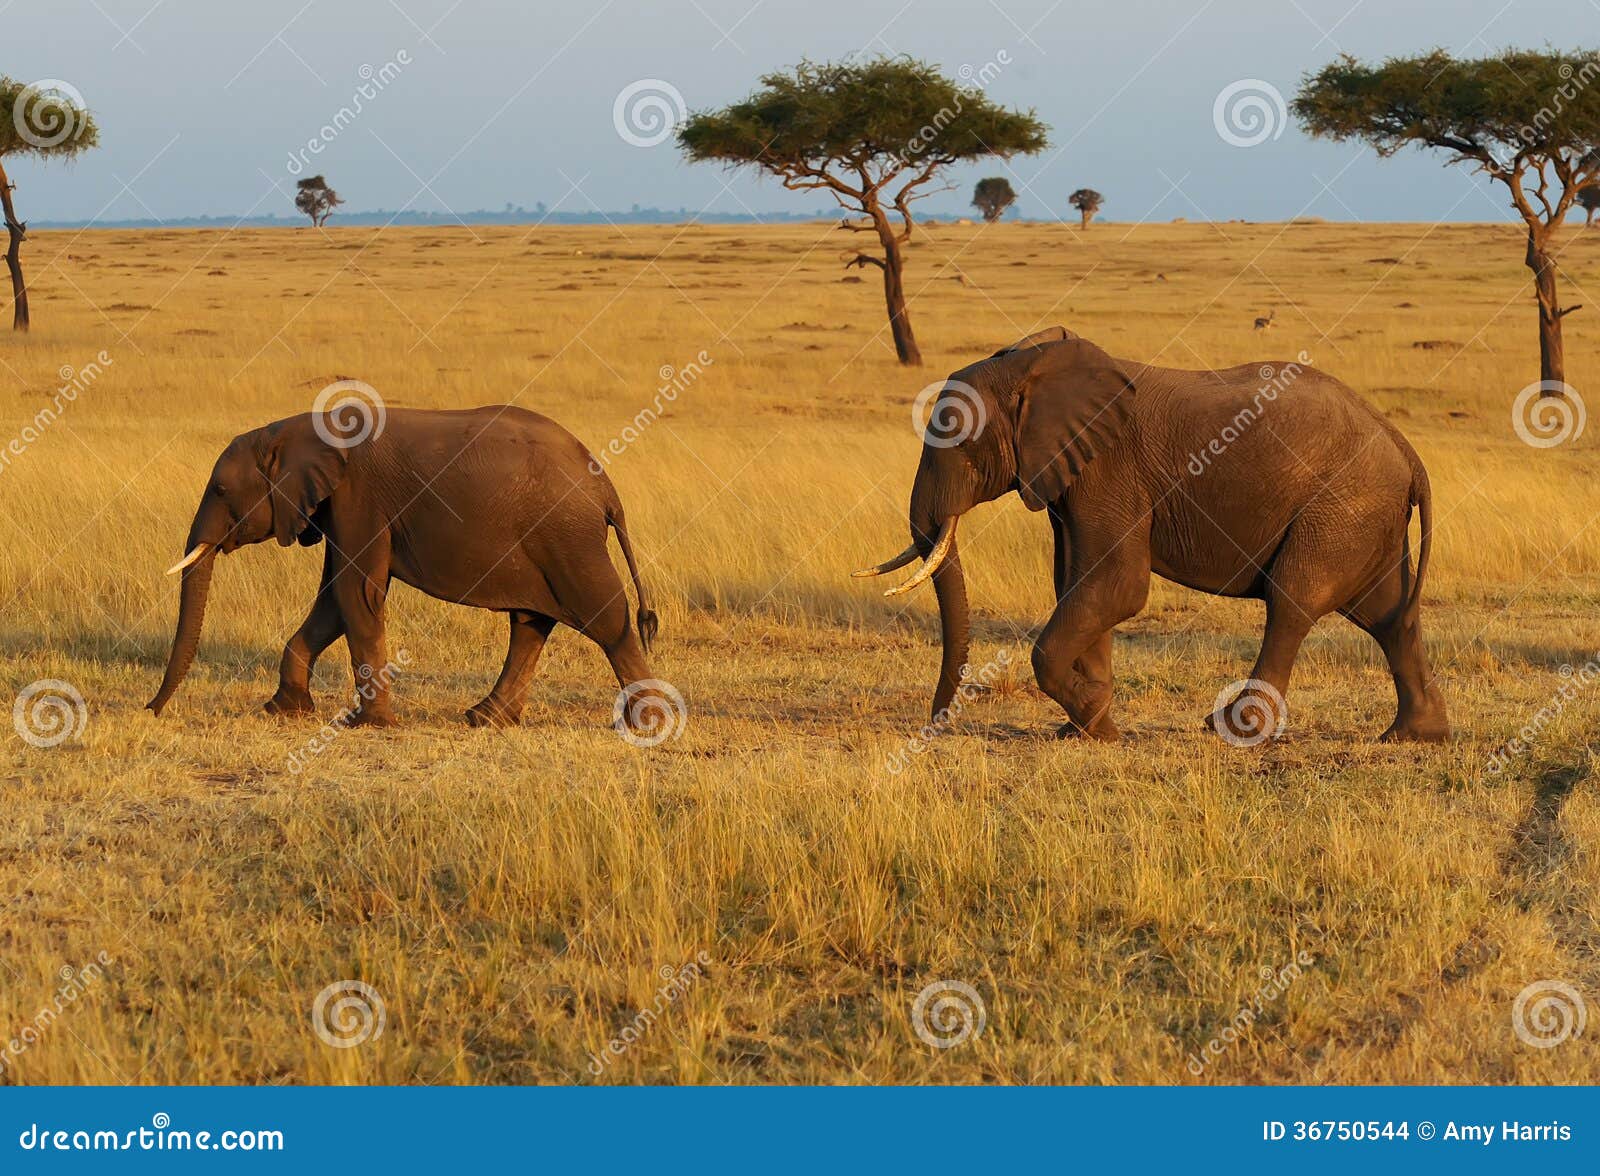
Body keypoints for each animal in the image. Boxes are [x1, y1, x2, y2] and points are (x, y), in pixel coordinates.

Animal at [150, 409, 662, 732]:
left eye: (219, 490)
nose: (150, 708)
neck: (299, 428)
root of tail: (606, 488)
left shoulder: (359, 499)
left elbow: (356, 594)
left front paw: (369, 725)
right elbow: (333, 600)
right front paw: (284, 710)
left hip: (567, 538)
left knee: (606, 620)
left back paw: (649, 722)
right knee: (530, 623)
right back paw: (484, 719)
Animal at [864, 326, 1452, 739]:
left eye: (956, 437)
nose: (937, 724)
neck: (1031, 367)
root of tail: (1406, 450)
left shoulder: (1110, 469)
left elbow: (1116, 587)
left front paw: (1092, 718)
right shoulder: (1073, 476)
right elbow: (1078, 583)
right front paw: (1088, 730)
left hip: (1338, 506)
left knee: (1292, 603)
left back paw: (1232, 729)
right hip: (1363, 513)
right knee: (1389, 615)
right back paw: (1414, 737)